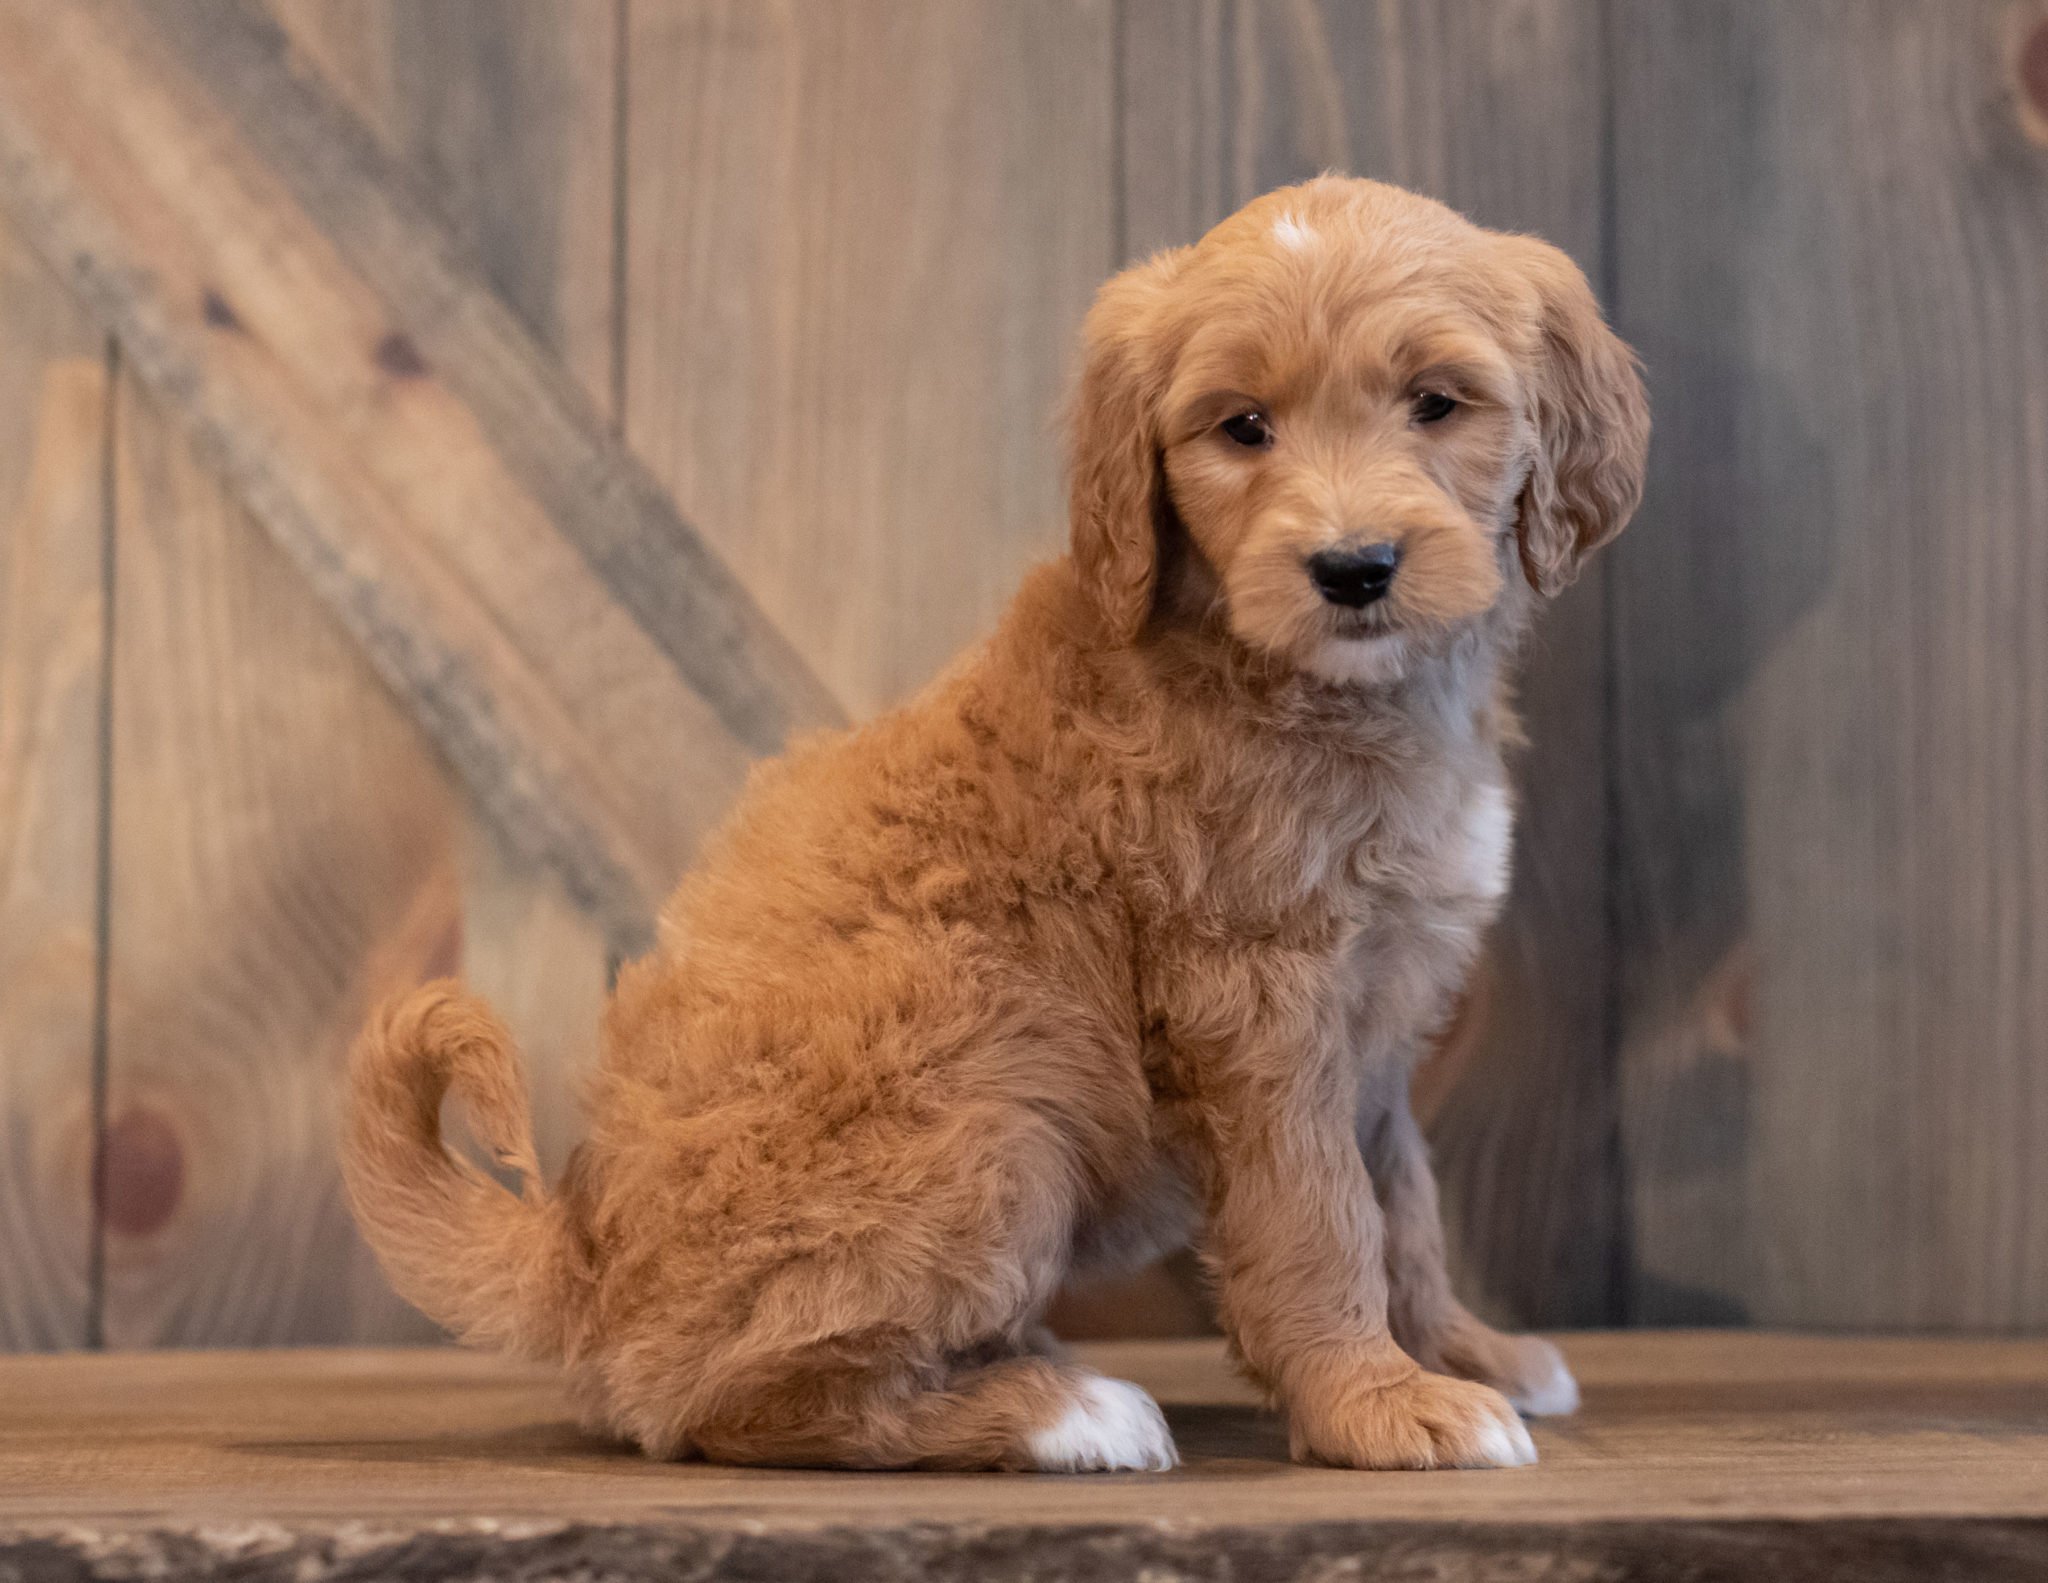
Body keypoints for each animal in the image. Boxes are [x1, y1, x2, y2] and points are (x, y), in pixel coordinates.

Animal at [339, 179, 1646, 1474]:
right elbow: (1319, 1215)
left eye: (1435, 403)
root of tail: (582, 1259)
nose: (1352, 567)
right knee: (730, 1400)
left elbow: (1401, 1203)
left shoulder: (1375, 1016)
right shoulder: (1256, 1001)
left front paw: (1462, 1354)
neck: (1314, 686)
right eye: (1241, 429)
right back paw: (1057, 1410)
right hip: (992, 1125)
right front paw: (1377, 1403)